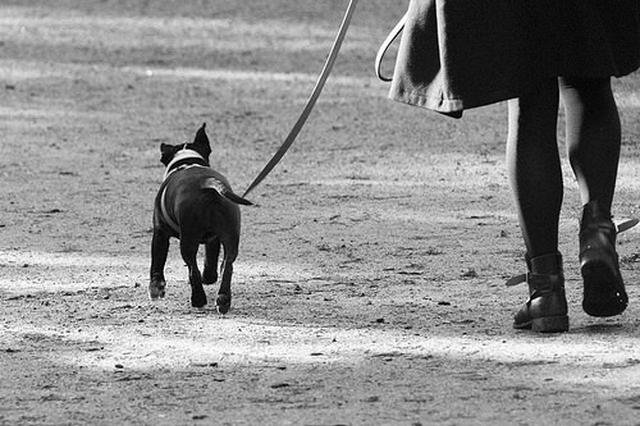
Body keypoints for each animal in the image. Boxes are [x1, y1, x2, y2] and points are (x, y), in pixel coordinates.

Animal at [149, 123, 251, 312]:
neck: (187, 162)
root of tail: (208, 184)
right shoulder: (214, 239)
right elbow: (211, 260)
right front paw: (209, 277)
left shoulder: (160, 233)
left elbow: (157, 263)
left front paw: (156, 289)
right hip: (230, 237)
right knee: (228, 266)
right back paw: (223, 300)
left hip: (188, 240)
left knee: (192, 268)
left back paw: (198, 299)